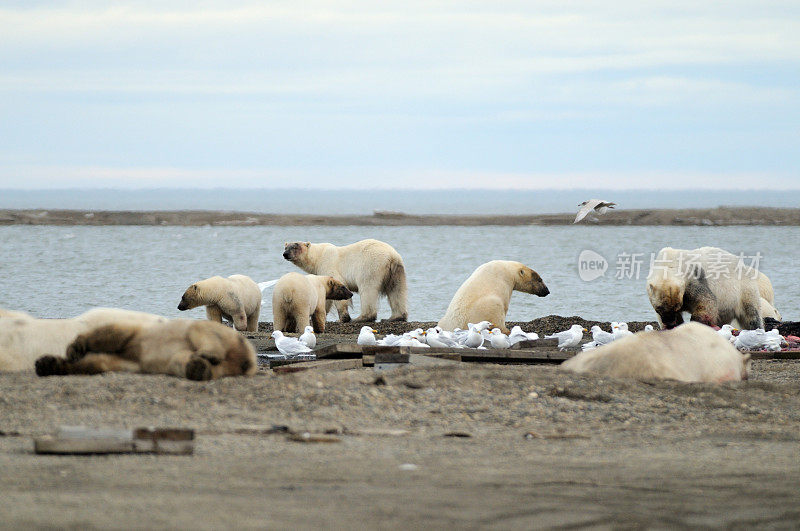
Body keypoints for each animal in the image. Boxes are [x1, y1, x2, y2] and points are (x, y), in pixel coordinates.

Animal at [35, 318, 256, 380]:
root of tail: (250, 360)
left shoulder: (136, 336)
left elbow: (114, 334)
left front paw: (75, 348)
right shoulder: (127, 360)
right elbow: (96, 363)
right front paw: (46, 363)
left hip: (219, 332)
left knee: (201, 331)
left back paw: (206, 354)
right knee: (183, 361)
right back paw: (199, 368)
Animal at [282, 239, 410, 322]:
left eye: (295, 247)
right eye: (286, 247)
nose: (285, 254)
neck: (318, 256)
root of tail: (392, 256)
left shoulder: (328, 265)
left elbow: (339, 288)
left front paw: (343, 318)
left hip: (370, 265)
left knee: (368, 289)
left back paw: (362, 317)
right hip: (397, 271)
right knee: (397, 290)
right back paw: (396, 316)